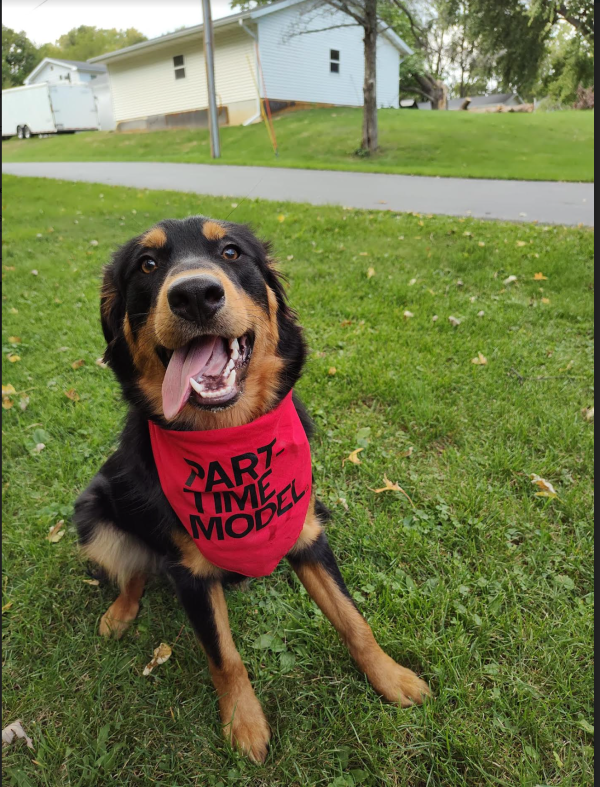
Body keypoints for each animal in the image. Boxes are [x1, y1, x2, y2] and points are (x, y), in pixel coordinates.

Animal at [75, 215, 432, 764]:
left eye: (231, 252)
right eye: (148, 264)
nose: (194, 295)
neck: (228, 437)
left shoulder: (308, 533)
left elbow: (354, 620)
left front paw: (391, 677)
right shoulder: (191, 573)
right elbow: (225, 657)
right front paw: (244, 724)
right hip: (93, 508)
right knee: (133, 567)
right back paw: (119, 613)